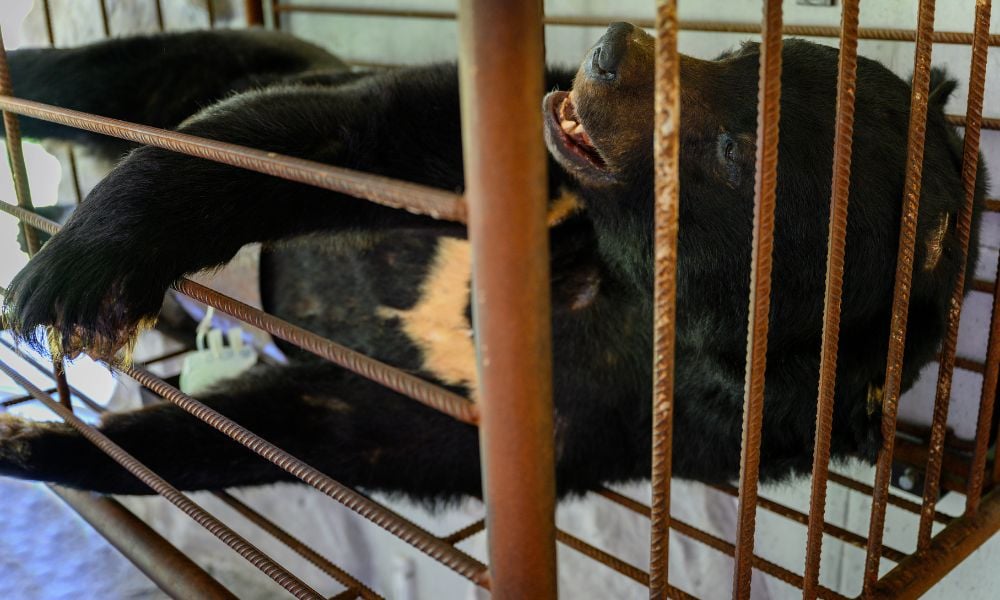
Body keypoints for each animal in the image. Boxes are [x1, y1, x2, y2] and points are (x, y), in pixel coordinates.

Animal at [0, 23, 986, 501]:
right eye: (746, 49)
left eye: (737, 152)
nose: (612, 49)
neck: (612, 279)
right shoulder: (497, 152)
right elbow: (332, 134)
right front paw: (81, 273)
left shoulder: (608, 426)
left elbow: (323, 433)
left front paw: (41, 442)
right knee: (110, 74)